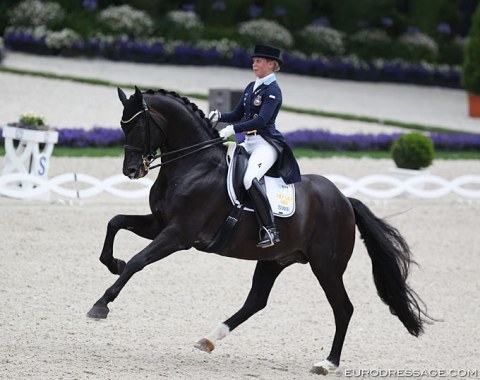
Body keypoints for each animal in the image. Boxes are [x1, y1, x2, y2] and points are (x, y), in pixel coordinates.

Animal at [87, 87, 432, 376]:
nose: (132, 171)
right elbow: (115, 221)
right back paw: (209, 339)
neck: (194, 166)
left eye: (137, 126)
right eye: (122, 126)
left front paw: (101, 304)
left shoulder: (178, 235)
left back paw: (327, 363)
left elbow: (138, 261)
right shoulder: (159, 223)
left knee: (343, 308)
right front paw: (112, 263)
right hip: (274, 259)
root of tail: (345, 200)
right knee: (256, 301)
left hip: (326, 266)